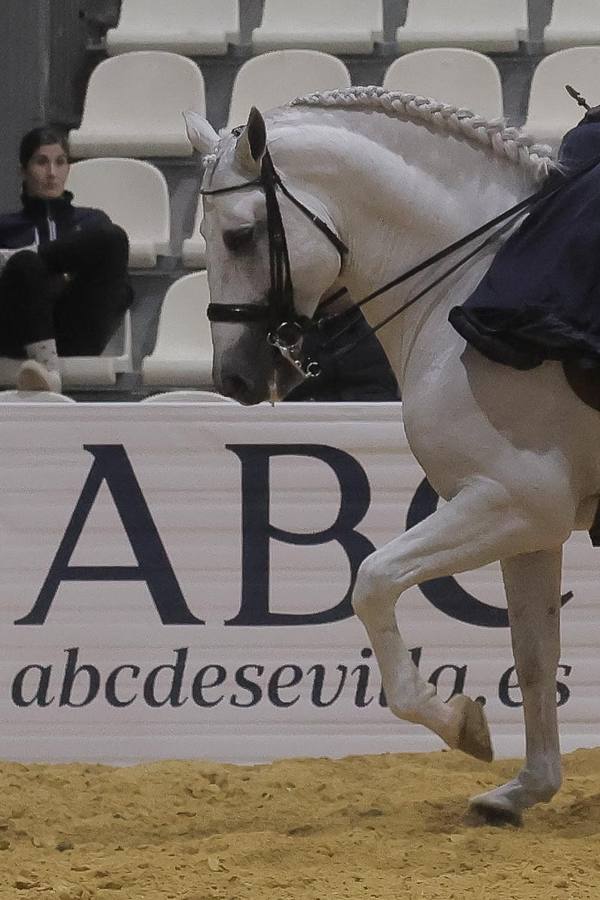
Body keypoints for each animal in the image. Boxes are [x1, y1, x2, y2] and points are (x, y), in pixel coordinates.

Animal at [183, 87, 600, 826]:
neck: (468, 280)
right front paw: (526, 788)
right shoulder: (531, 526)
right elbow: (533, 653)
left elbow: (373, 581)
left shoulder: (514, 500)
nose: (232, 377)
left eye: (239, 235)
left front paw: (459, 722)